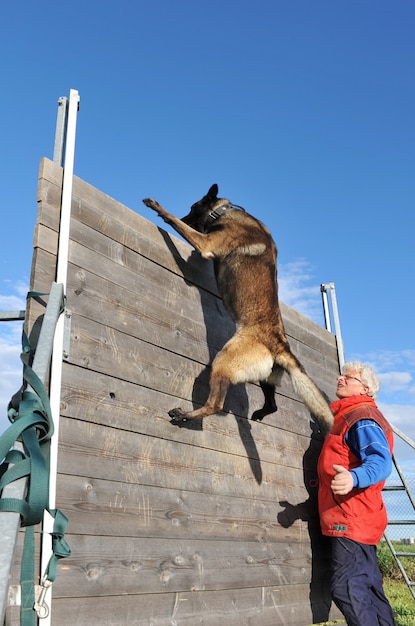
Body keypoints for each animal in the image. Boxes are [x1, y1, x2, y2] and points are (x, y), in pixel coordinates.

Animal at [143, 183, 334, 432]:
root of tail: (279, 342)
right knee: (272, 405)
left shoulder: (206, 243)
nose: (186, 216)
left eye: (192, 208)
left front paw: (158, 208)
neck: (223, 212)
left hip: (223, 360)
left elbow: (175, 222)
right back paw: (259, 414)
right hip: (265, 378)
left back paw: (184, 415)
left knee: (215, 404)